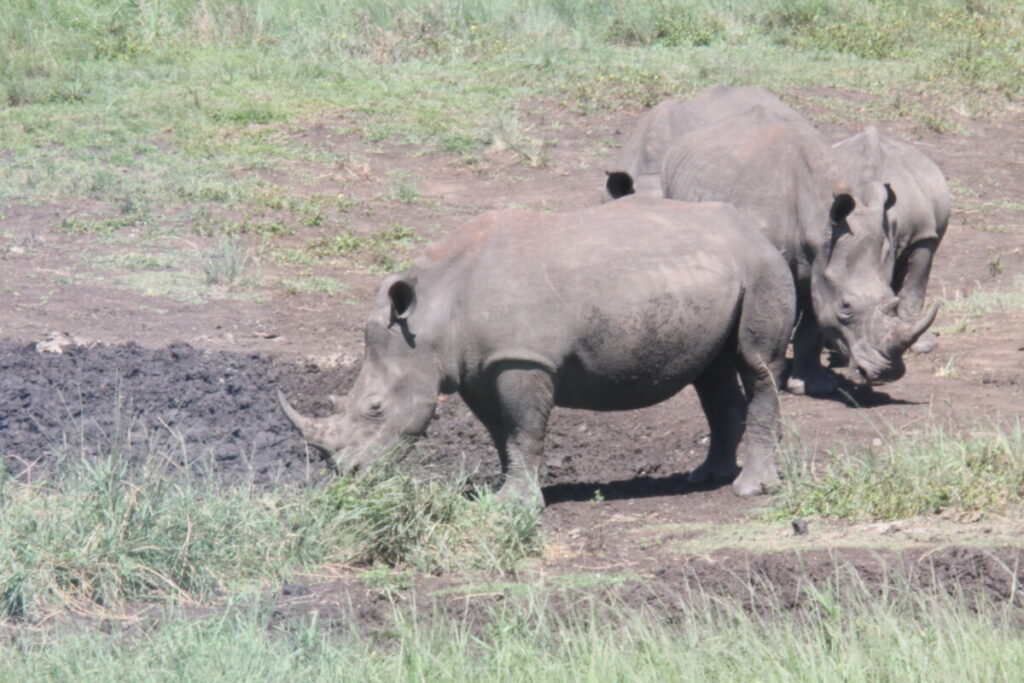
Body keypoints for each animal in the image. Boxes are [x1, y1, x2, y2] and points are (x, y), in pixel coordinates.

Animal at [282, 194, 798, 505]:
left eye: (375, 408)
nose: (347, 474)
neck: (432, 310)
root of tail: (756, 231)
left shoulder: (521, 358)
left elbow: (524, 428)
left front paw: (517, 504)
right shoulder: (479, 366)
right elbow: (501, 433)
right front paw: (503, 494)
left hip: (763, 269)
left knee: (756, 364)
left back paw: (749, 489)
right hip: (716, 273)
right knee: (711, 374)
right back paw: (706, 477)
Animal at [622, 107, 937, 395]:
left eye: (891, 299)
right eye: (846, 306)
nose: (889, 372)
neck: (821, 223)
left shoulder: (823, 265)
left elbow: (813, 323)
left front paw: (814, 385)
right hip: (671, 175)